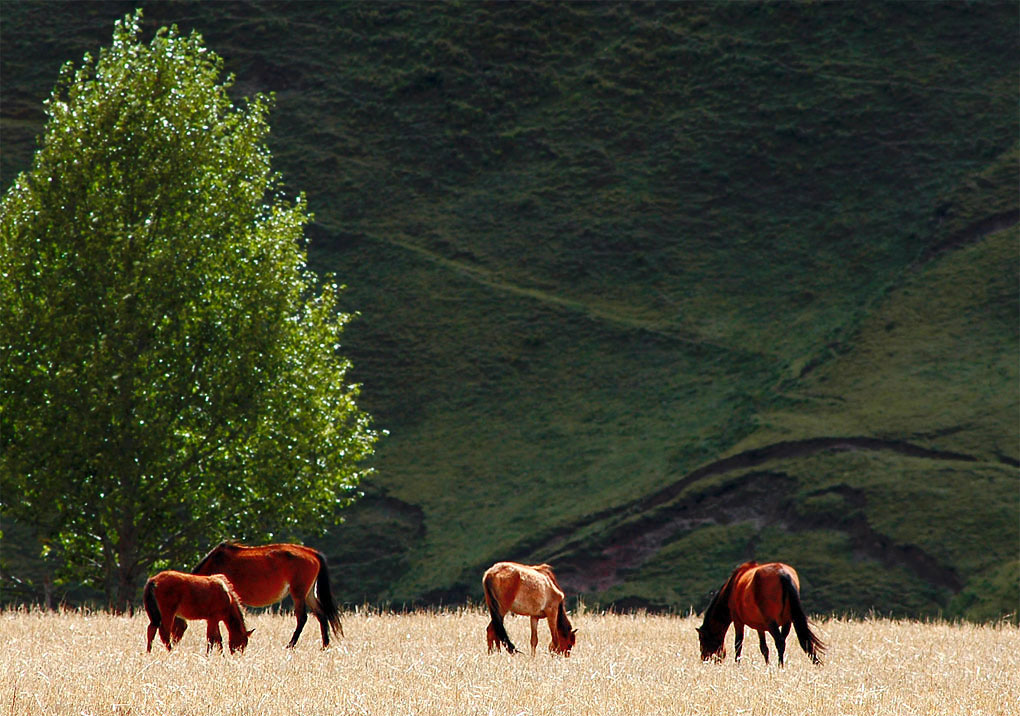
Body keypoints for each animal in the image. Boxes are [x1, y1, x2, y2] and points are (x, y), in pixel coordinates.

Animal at [183, 542, 342, 652]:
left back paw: (290, 646)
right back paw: (325, 646)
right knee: (321, 615)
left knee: (302, 618)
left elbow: (214, 633)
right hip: (308, 594)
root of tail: (313, 553)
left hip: (298, 593)